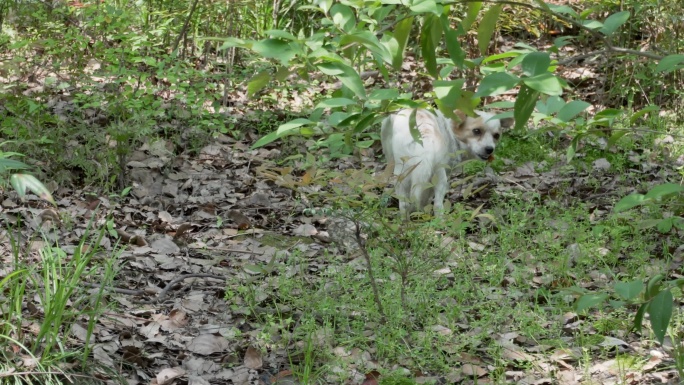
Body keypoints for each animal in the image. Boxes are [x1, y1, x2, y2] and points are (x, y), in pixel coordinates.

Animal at [380, 108, 512, 219]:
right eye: (476, 131)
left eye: (496, 135)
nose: (489, 149)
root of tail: (423, 129)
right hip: (440, 176)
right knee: (437, 205)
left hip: (401, 173)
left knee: (404, 204)